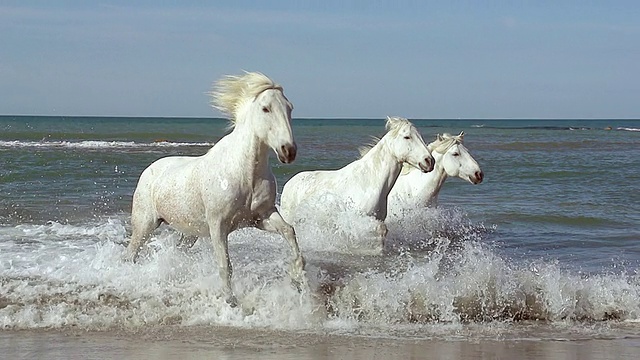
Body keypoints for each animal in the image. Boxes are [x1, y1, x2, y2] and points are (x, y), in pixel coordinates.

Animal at [126, 71, 306, 306]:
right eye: (265, 108)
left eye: (290, 108)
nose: (288, 151)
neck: (244, 174)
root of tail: (149, 170)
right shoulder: (218, 226)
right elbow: (225, 265)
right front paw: (231, 300)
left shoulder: (262, 217)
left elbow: (289, 231)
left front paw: (297, 277)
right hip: (145, 225)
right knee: (131, 254)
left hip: (190, 233)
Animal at [278, 116, 432, 249]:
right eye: (407, 137)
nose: (429, 161)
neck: (370, 182)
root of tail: (289, 183)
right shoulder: (358, 219)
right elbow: (380, 231)